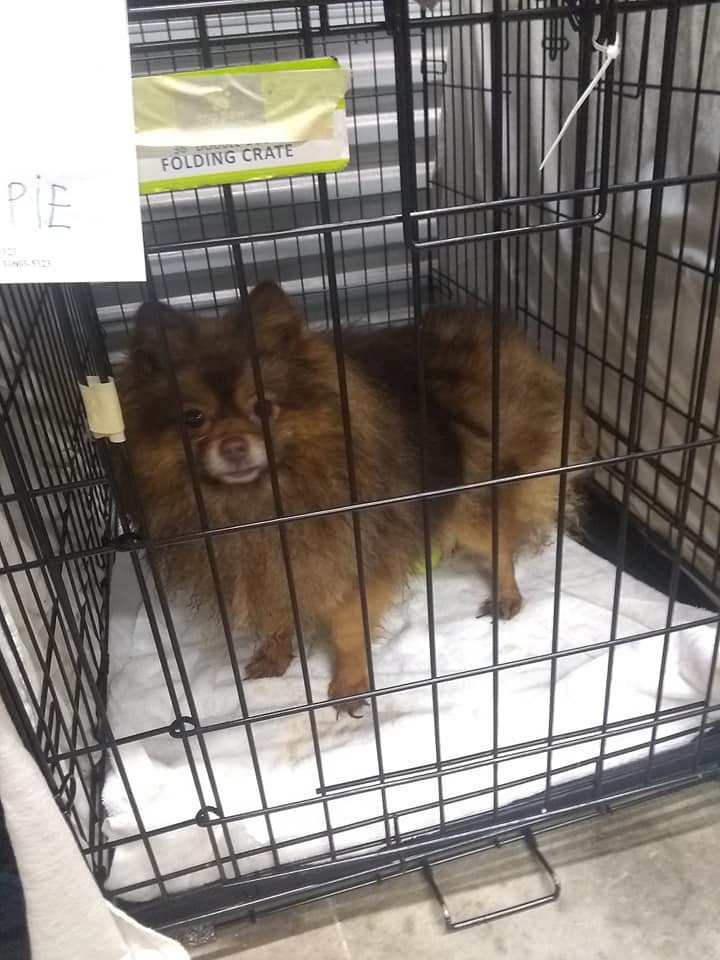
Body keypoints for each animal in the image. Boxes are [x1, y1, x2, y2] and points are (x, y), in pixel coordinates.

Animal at [115, 282, 588, 711]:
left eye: (263, 407)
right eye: (193, 418)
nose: (233, 446)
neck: (262, 504)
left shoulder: (356, 560)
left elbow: (347, 630)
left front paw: (349, 685)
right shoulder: (267, 562)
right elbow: (275, 612)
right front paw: (274, 653)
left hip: (467, 500)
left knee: (499, 541)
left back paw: (507, 595)